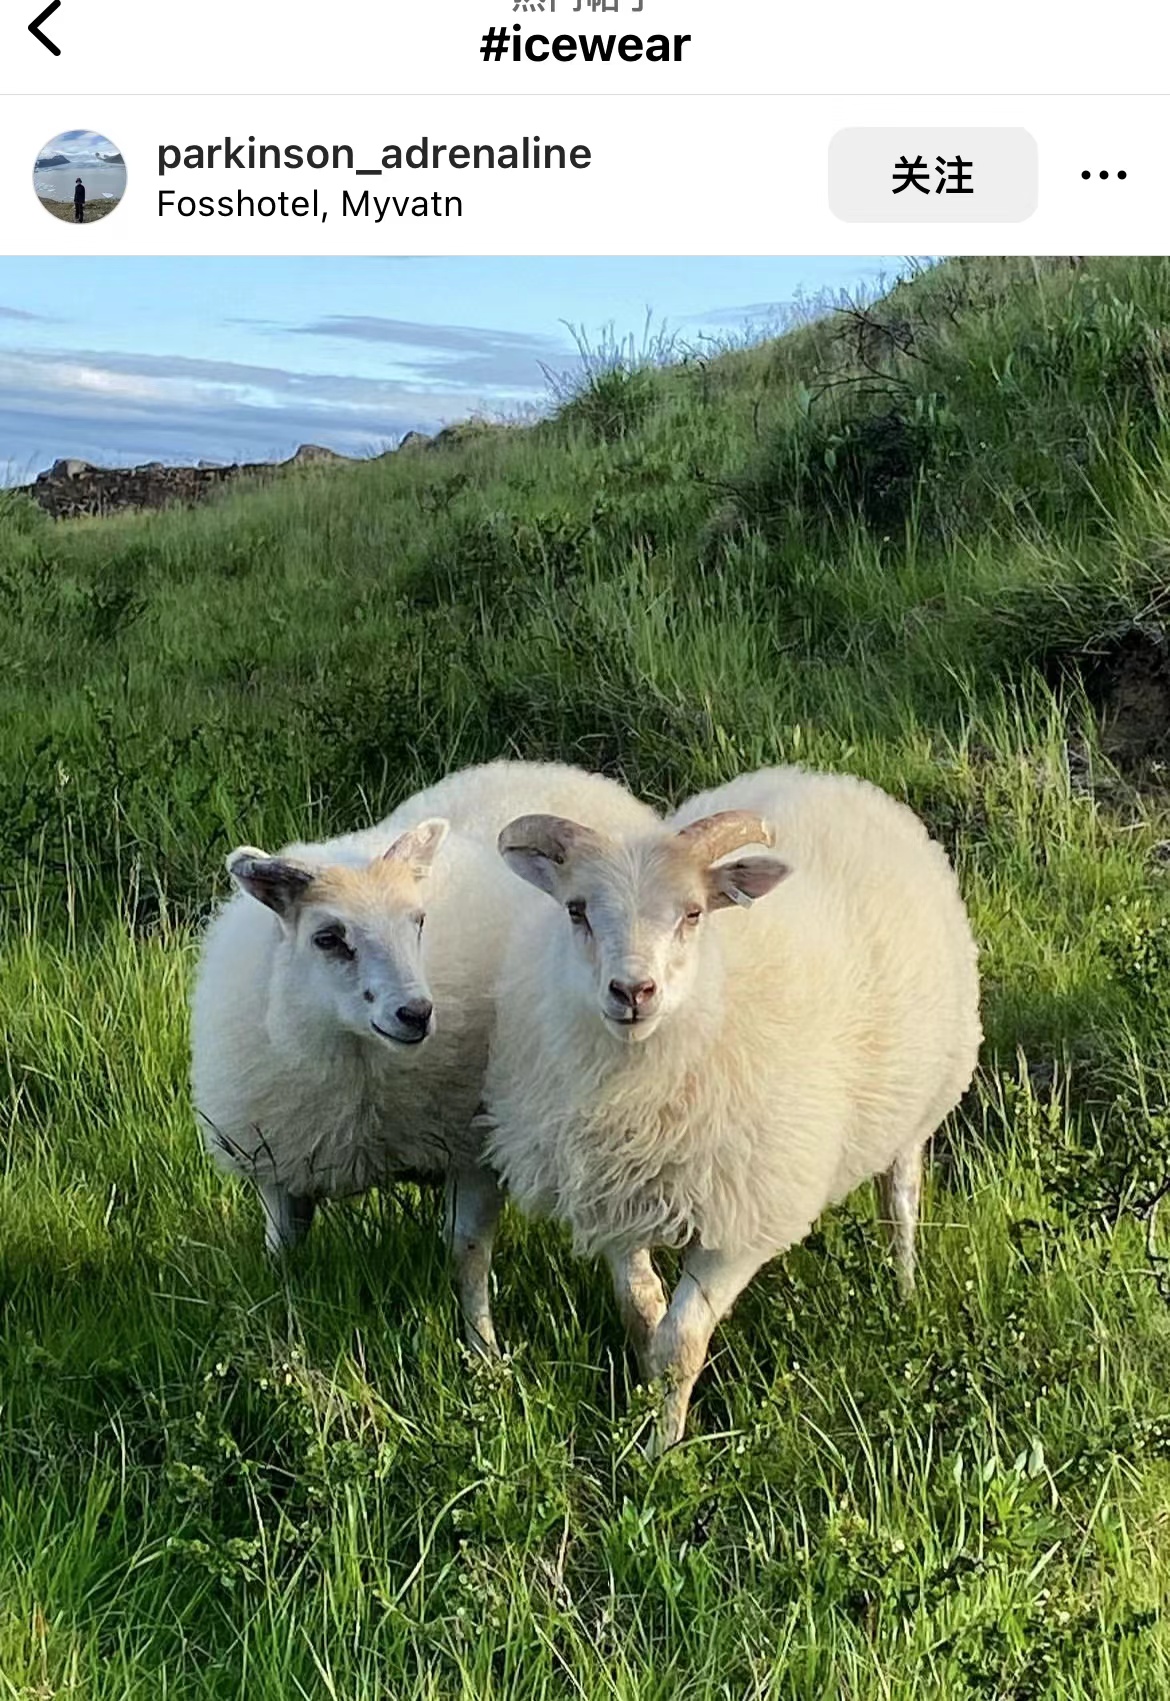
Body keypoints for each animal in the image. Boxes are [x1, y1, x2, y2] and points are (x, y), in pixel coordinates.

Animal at [192, 758, 659, 1353]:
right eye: (328, 937)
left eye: (418, 921)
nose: (415, 1013)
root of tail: (561, 769)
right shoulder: (279, 1168)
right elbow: (282, 1257)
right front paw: (277, 1332)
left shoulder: (470, 1149)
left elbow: (467, 1255)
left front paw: (484, 1353)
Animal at [479, 772, 979, 1449]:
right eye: (576, 909)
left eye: (693, 913)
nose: (633, 992)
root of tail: (824, 775)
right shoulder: (613, 1200)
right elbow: (642, 1315)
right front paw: (643, 1408)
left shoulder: (740, 1222)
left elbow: (681, 1342)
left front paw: (662, 1449)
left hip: (920, 1101)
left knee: (899, 1202)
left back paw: (903, 1293)